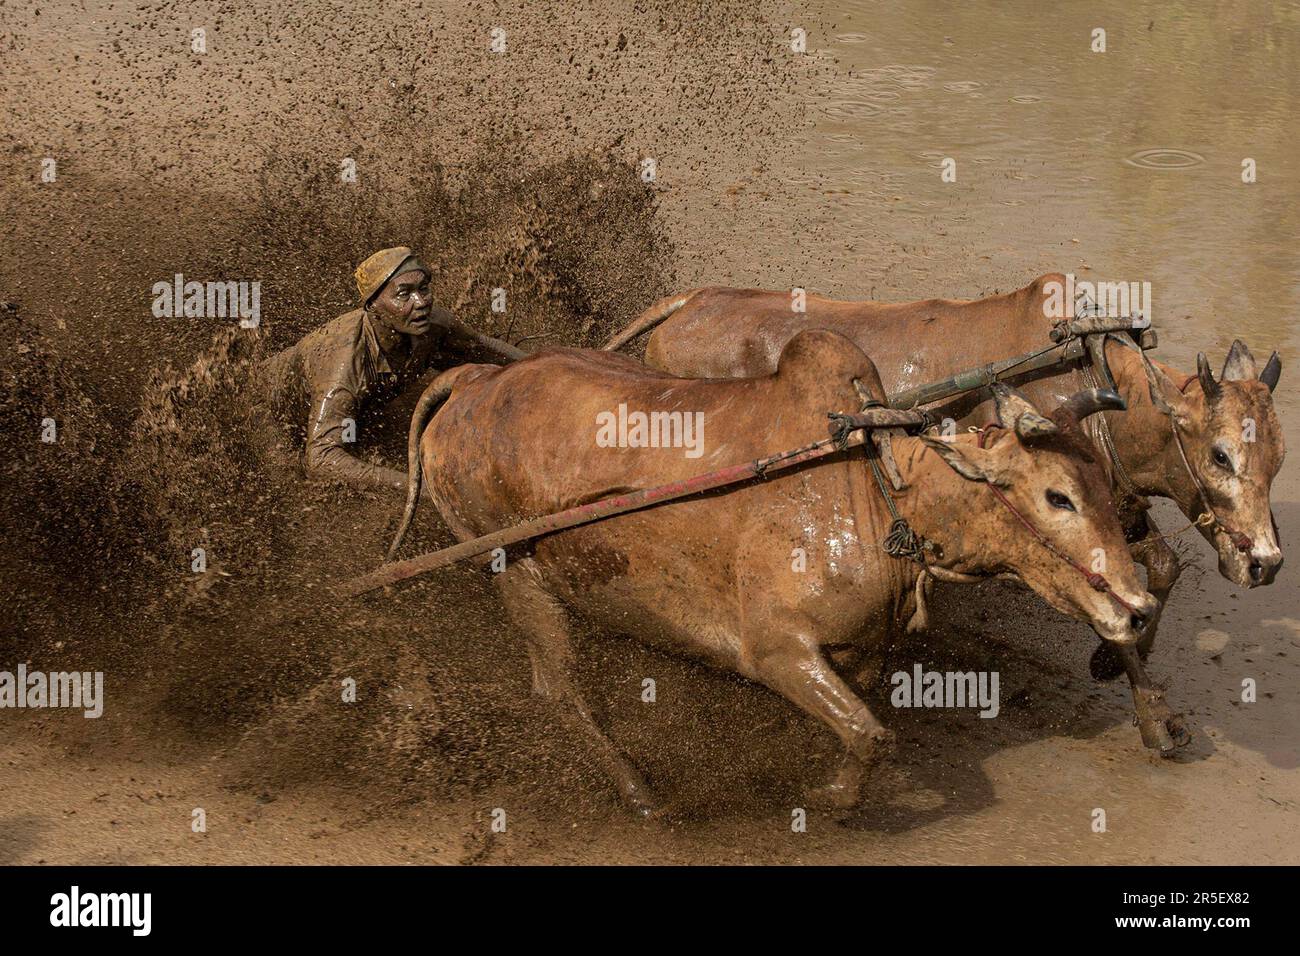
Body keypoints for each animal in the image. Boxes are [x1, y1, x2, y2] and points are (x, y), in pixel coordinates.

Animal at [390, 329, 1164, 816]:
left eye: (1102, 486)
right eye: (1057, 496)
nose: (1137, 607)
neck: (876, 485)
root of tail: (476, 382)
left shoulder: (854, 657)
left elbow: (861, 729)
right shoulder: (776, 649)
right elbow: (870, 736)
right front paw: (825, 801)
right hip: (511, 568)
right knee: (559, 692)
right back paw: (642, 794)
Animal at [603, 274, 1284, 681]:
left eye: (1277, 461)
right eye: (1221, 456)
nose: (1267, 563)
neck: (1099, 383)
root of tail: (692, 303)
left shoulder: (1115, 510)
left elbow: (1161, 569)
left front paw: (1119, 663)